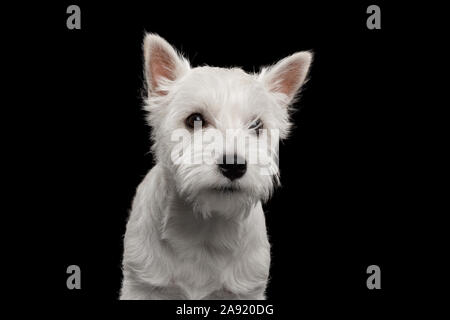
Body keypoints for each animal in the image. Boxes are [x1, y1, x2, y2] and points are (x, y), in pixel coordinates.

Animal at [120, 33, 312, 298]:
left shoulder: (247, 291)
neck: (205, 228)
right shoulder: (141, 285)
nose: (234, 166)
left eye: (256, 125)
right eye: (195, 119)